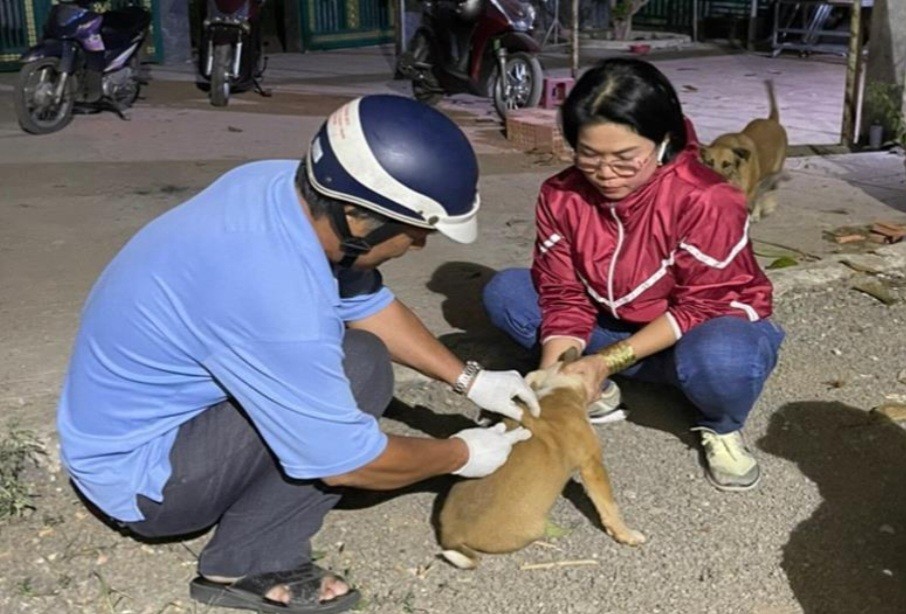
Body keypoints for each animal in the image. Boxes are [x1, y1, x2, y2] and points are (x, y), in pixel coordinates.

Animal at [438, 354, 644, 572]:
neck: (559, 389)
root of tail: (452, 535)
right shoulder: (592, 464)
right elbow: (609, 506)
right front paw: (626, 534)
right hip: (535, 527)